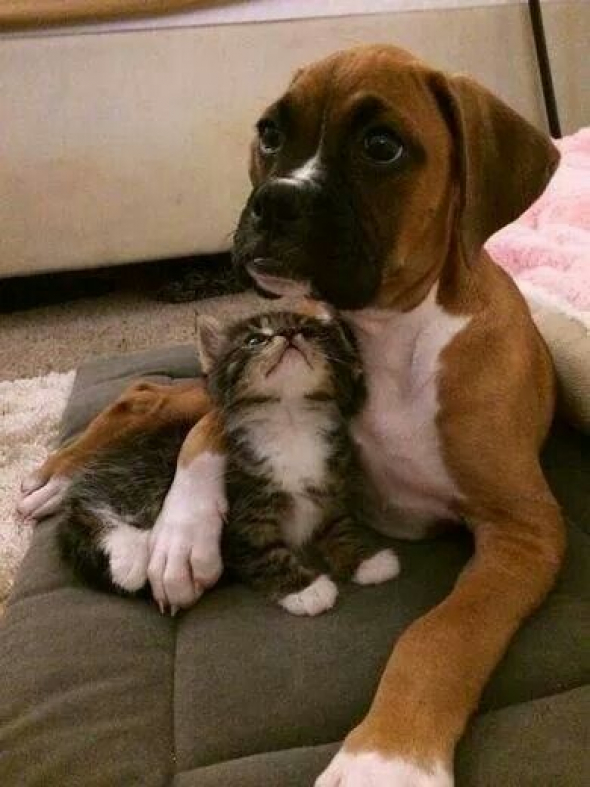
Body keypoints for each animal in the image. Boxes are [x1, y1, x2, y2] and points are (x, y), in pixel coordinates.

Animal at [58, 308, 399, 616]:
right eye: (254, 340)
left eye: (308, 330)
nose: (289, 334)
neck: (290, 421)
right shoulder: (243, 515)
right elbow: (262, 554)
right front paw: (306, 591)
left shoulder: (330, 487)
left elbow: (339, 525)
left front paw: (368, 560)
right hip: (143, 474)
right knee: (84, 513)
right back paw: (129, 557)